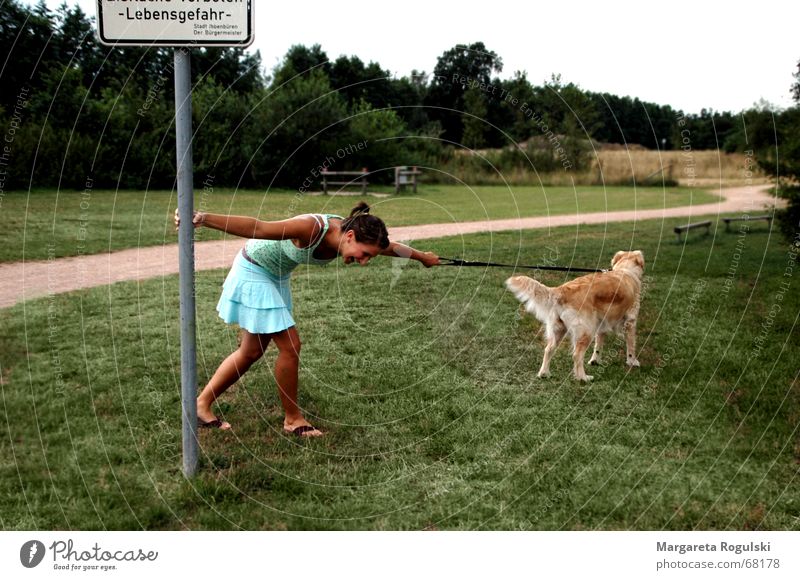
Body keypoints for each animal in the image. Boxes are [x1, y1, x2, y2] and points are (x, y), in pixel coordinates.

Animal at [506, 249, 644, 380]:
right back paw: (583, 377)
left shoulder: (602, 325)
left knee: (548, 350)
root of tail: (560, 291)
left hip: (559, 330)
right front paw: (632, 361)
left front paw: (595, 361)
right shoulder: (630, 322)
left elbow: (598, 346)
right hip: (586, 331)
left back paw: (544, 374)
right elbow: (631, 346)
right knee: (577, 355)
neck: (625, 270)